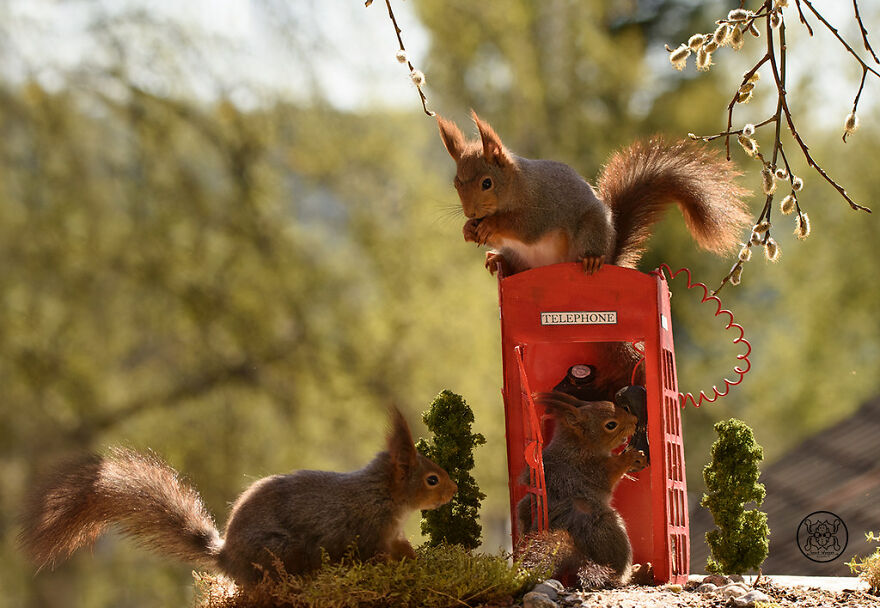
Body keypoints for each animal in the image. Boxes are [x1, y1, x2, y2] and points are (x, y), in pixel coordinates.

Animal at [18, 407, 457, 588]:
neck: (381, 494)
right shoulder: (364, 531)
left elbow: (398, 548)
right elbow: (373, 555)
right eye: (432, 479)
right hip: (281, 552)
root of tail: (226, 558)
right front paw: (399, 560)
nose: (453, 490)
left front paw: (412, 554)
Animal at [437, 111, 751, 276]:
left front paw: (491, 225)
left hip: (591, 232)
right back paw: (496, 259)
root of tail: (611, 254)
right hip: (522, 259)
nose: (470, 213)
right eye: (456, 183)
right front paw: (468, 229)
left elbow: (524, 227)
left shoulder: (542, 207)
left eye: (487, 183)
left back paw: (592, 260)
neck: (518, 186)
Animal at [516, 391, 646, 587]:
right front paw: (631, 457)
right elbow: (611, 471)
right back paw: (633, 573)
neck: (578, 445)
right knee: (617, 572)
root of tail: (582, 553)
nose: (635, 420)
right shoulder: (591, 468)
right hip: (612, 531)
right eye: (611, 425)